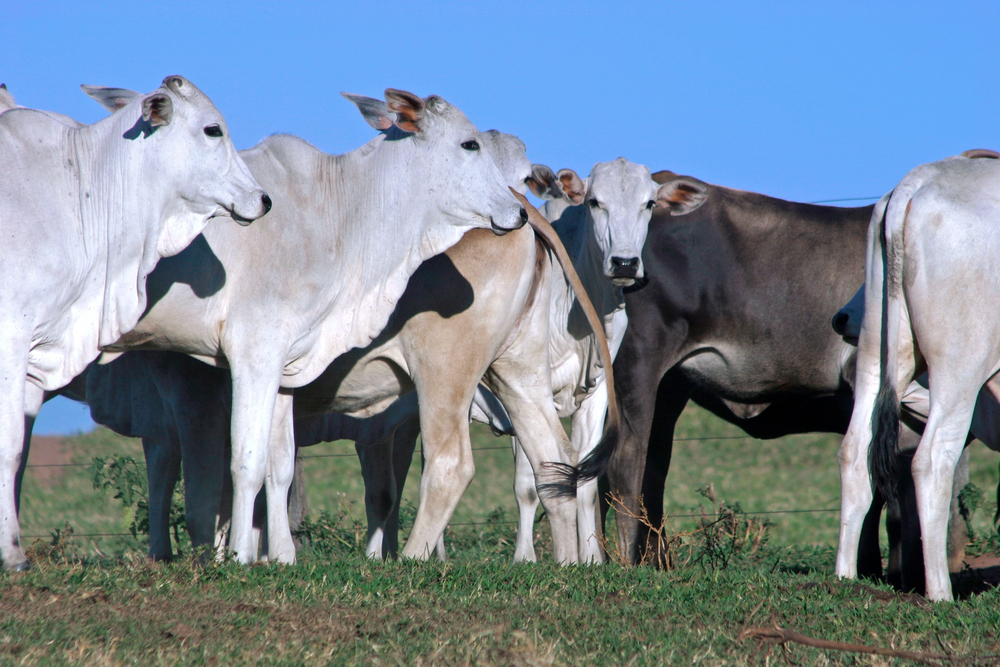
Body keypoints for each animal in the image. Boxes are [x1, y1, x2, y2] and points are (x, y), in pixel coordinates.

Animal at [0, 77, 270, 568]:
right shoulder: (11, 334)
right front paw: (12, 554)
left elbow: (16, 454)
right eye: (213, 129)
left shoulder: (35, 350)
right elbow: (10, 447)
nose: (263, 199)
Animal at [80, 87, 524, 564]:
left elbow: (262, 469)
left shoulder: (267, 368)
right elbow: (253, 464)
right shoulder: (257, 355)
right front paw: (248, 557)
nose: (519, 211)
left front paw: (266, 556)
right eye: (469, 144)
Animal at [836, 154, 1000, 604]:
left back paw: (845, 577)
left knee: (855, 450)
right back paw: (940, 592)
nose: (841, 318)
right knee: (932, 459)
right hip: (961, 364)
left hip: (879, 351)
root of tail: (921, 178)